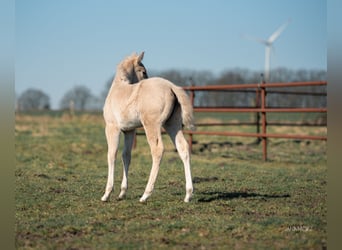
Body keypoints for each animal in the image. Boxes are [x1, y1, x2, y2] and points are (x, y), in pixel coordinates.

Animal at [100, 52, 194, 203]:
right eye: (143, 71)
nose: (146, 77)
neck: (119, 88)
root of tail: (170, 86)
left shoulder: (111, 127)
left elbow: (112, 155)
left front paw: (107, 193)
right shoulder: (129, 130)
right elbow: (126, 155)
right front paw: (122, 192)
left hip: (151, 125)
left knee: (157, 150)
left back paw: (145, 194)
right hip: (172, 124)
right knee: (183, 148)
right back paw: (188, 194)